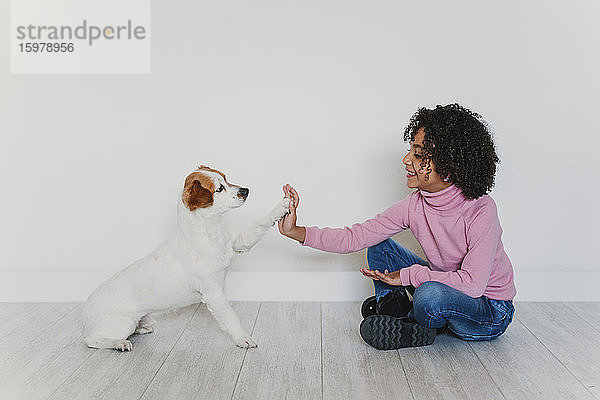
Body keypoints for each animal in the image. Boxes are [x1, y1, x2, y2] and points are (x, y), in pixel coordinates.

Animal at [84, 165, 290, 350]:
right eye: (219, 188)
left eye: (226, 178)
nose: (245, 190)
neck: (210, 233)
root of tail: (88, 307)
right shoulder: (214, 293)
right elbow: (231, 317)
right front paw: (243, 339)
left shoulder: (239, 243)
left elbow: (259, 224)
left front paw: (283, 205)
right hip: (120, 324)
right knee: (92, 340)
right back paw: (119, 343)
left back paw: (142, 328)